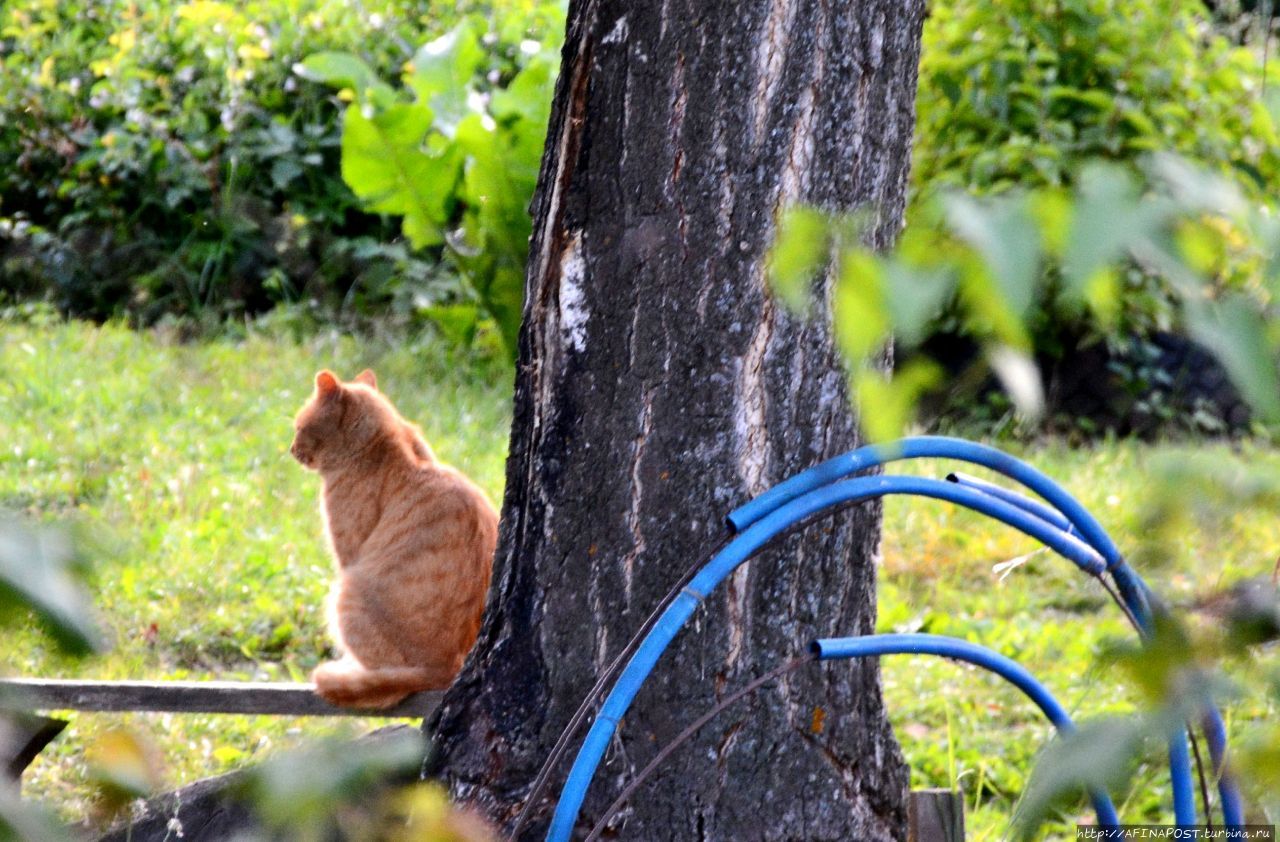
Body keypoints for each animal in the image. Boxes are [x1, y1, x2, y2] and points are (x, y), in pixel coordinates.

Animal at [289, 371, 494, 706]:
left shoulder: (348, 555)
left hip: (346, 591)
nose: (291, 449)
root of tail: (445, 669)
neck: (383, 444)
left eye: (299, 427)